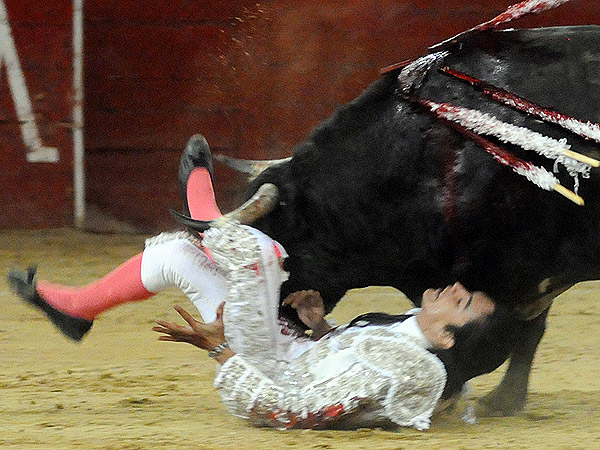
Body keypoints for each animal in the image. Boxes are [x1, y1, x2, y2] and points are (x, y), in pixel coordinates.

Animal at [173, 22, 600, 416]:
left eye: (271, 256)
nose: (268, 325)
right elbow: (527, 332)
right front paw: (502, 400)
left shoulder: (509, 276)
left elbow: (507, 337)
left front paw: (492, 400)